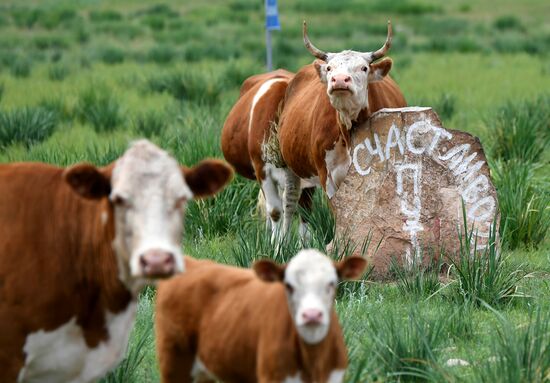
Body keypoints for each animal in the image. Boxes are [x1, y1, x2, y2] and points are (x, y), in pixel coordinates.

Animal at [157, 248, 368, 382]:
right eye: (288, 286)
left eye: (332, 283)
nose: (312, 315)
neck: (313, 361)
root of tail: (192, 263)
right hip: (173, 361)